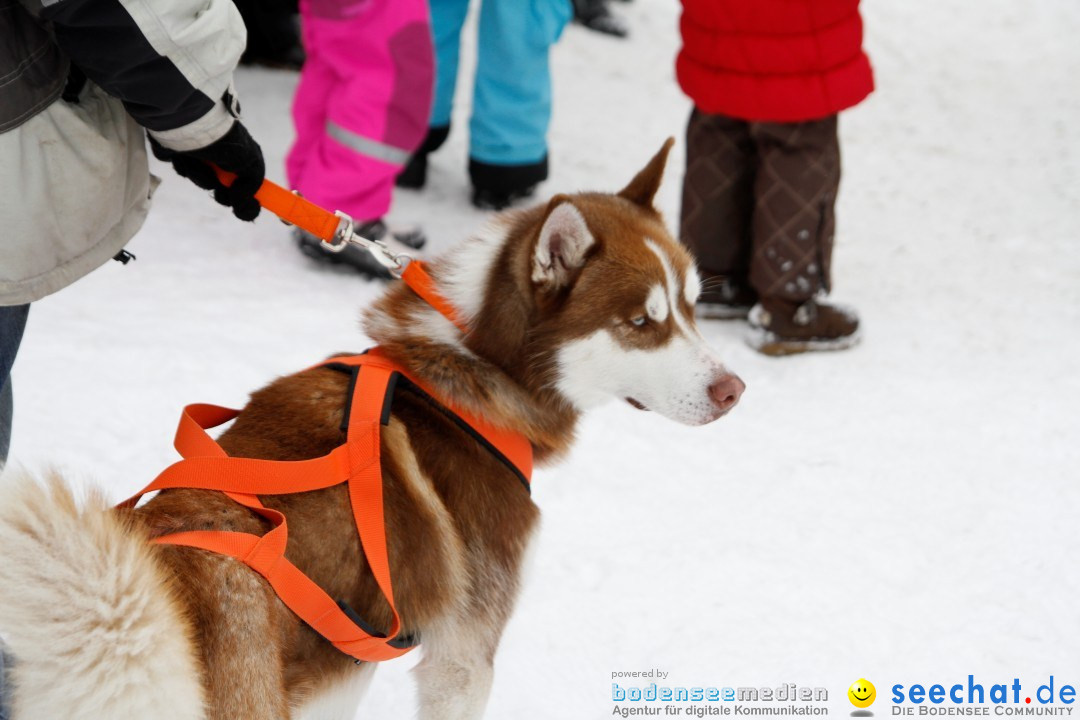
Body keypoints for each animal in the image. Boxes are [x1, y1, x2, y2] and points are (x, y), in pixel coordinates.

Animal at [0, 140, 743, 720]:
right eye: (640, 323)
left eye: (691, 307)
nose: (734, 390)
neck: (474, 368)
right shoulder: (463, 655)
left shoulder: (344, 668)